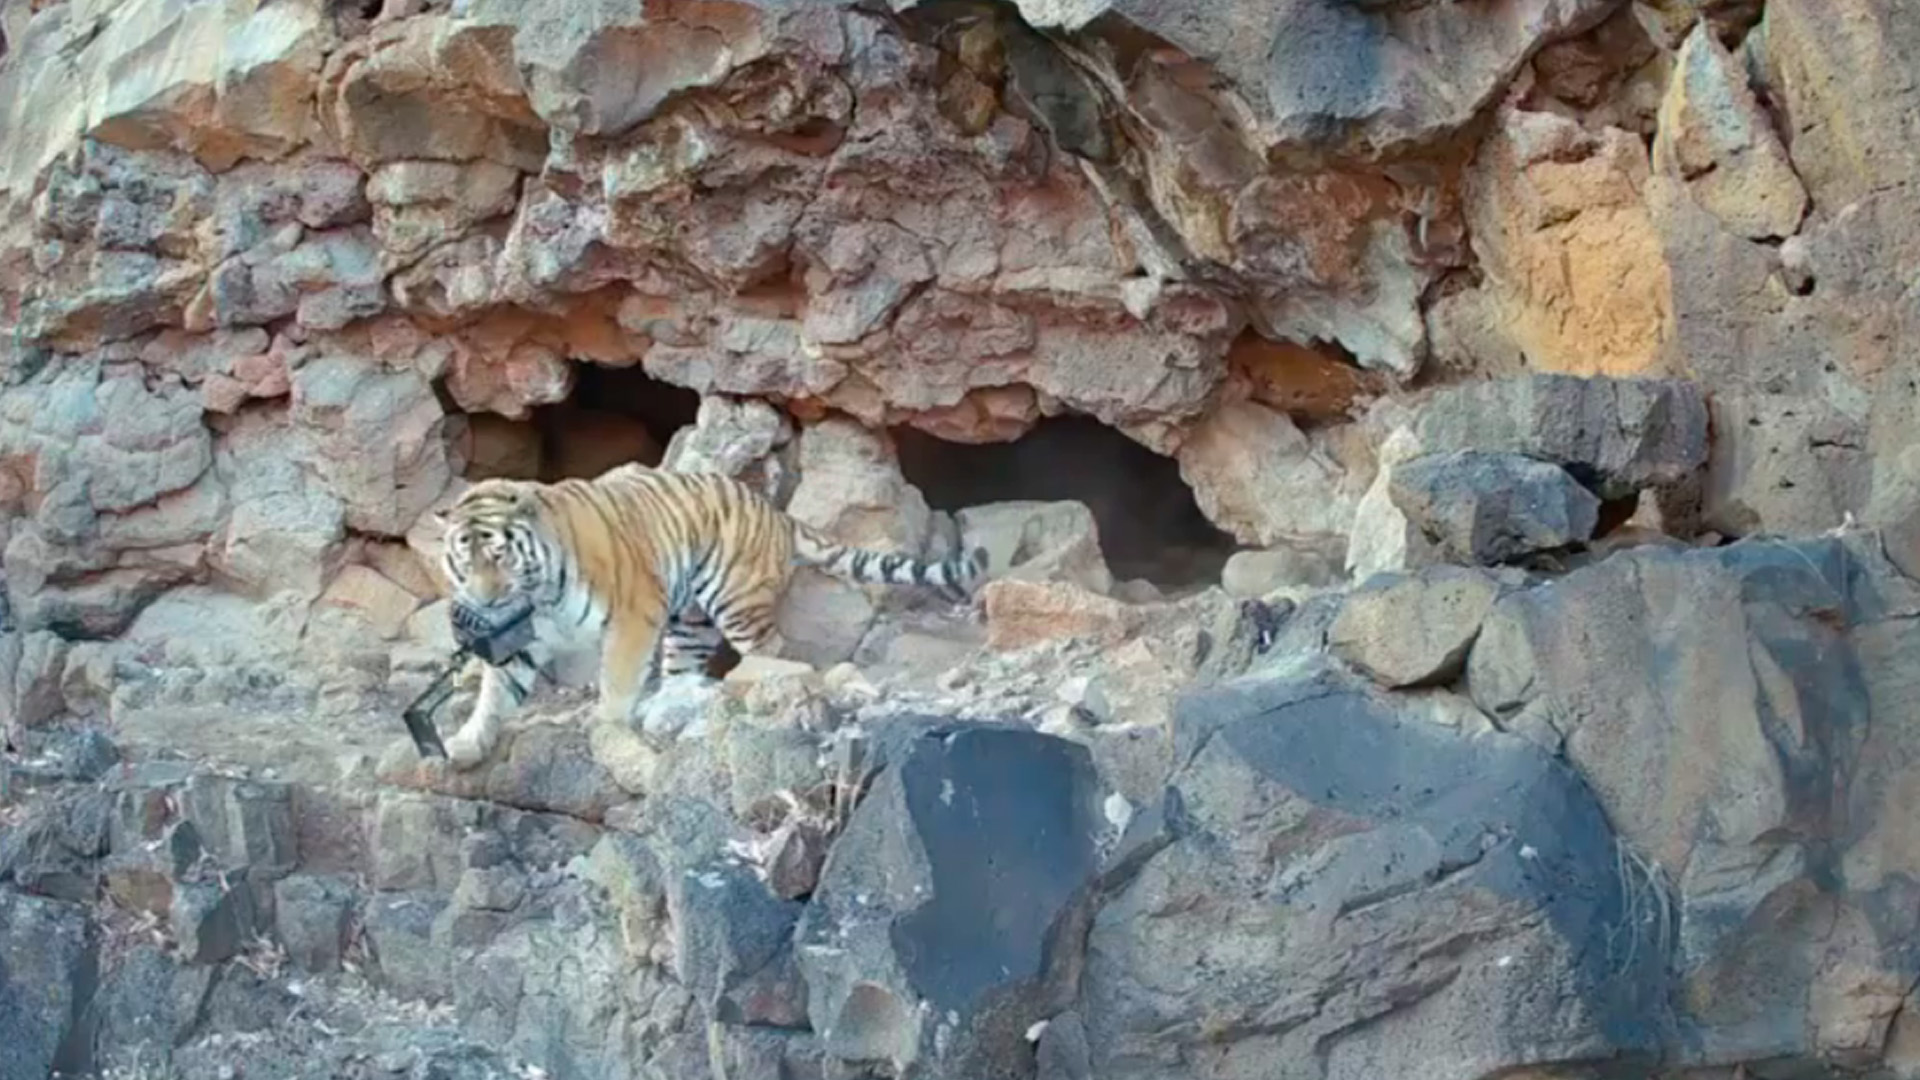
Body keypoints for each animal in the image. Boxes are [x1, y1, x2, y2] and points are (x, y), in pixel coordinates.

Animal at [431, 462, 989, 770]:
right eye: (465, 560)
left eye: (499, 557)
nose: (485, 601)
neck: (537, 594)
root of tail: (776, 512)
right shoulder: (526, 636)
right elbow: (494, 694)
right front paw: (466, 744)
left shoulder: (635, 611)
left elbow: (616, 678)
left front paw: (607, 726)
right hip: (691, 620)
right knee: (685, 670)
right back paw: (669, 708)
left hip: (735, 600)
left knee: (774, 653)